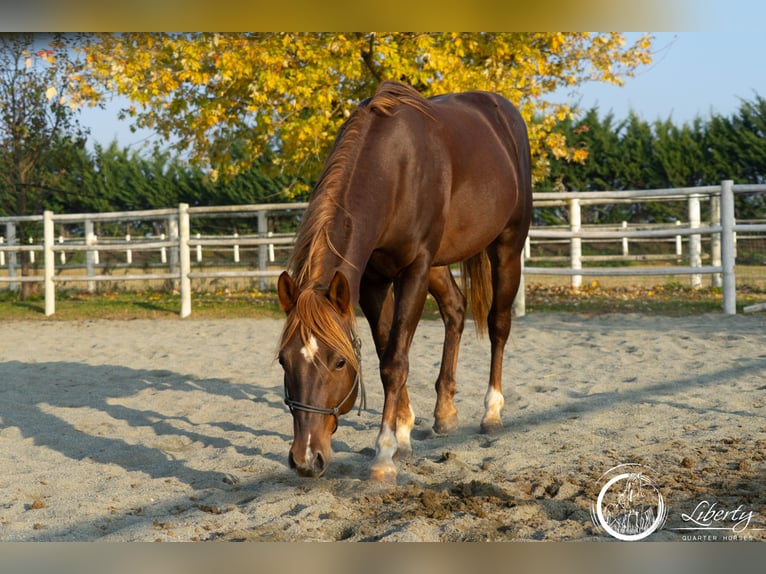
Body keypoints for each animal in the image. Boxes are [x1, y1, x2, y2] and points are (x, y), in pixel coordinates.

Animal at [278, 81, 536, 484]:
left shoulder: (413, 269)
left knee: (498, 324)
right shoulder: (373, 281)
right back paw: (445, 412)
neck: (391, 169)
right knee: (455, 310)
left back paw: (491, 411)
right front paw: (403, 434)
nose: (306, 459)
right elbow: (389, 350)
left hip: (506, 246)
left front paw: (384, 454)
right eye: (283, 360)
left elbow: (395, 362)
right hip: (439, 262)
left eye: (339, 362)